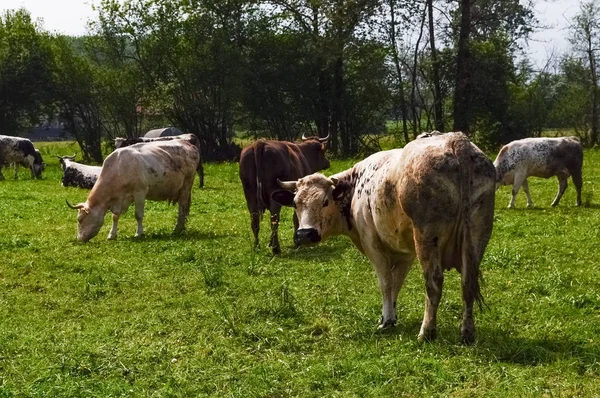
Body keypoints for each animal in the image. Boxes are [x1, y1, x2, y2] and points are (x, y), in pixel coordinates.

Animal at [272, 132, 496, 344]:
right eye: (295, 202)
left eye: (325, 201)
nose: (304, 234)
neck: (355, 187)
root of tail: (456, 141)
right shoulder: (406, 252)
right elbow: (396, 282)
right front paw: (391, 315)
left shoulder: (373, 245)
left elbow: (386, 282)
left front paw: (387, 320)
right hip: (477, 235)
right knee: (468, 281)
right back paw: (467, 333)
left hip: (427, 238)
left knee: (434, 282)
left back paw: (426, 332)